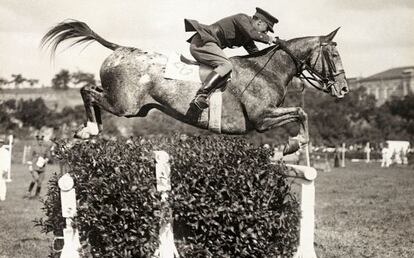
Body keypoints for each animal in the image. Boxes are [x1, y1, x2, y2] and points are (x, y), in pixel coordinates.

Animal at [42, 20, 348, 155]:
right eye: (334, 55)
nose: (344, 89)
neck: (268, 70)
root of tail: (121, 49)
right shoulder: (262, 118)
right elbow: (301, 113)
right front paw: (291, 145)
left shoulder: (266, 116)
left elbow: (301, 114)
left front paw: (291, 145)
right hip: (124, 105)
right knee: (87, 92)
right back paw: (89, 130)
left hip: (135, 108)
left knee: (92, 92)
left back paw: (88, 130)